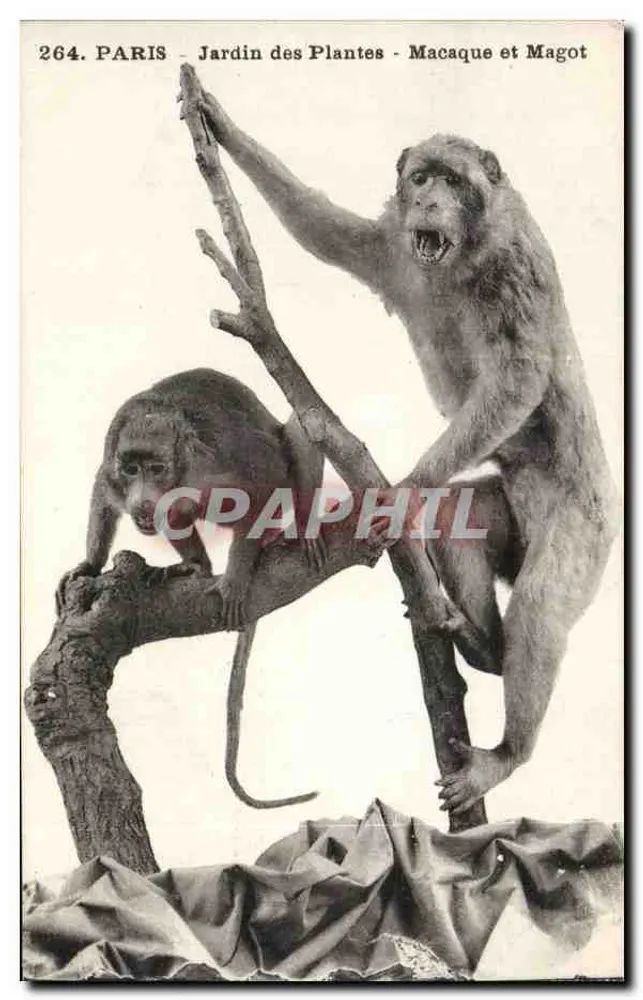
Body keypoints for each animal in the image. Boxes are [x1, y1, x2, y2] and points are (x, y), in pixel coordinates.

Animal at [56, 367, 324, 809]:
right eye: (131, 470)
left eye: (156, 468)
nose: (142, 501)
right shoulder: (113, 462)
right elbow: (102, 487)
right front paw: (90, 565)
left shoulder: (217, 458)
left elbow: (265, 479)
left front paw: (235, 578)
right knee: (177, 512)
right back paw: (195, 566)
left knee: (301, 429)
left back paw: (299, 530)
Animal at [196, 90, 620, 815]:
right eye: (420, 177)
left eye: (452, 180)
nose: (426, 200)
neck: (462, 257)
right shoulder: (395, 247)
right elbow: (331, 234)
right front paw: (218, 123)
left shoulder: (517, 269)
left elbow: (517, 380)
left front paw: (406, 489)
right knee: (461, 520)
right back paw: (483, 647)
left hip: (584, 525)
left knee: (539, 605)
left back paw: (507, 753)